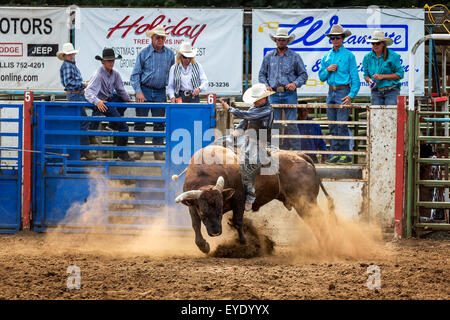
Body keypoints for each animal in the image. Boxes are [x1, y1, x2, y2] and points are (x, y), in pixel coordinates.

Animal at [174, 144, 332, 254]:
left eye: (220, 210)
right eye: (203, 213)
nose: (215, 233)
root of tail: (300, 156)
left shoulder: (239, 198)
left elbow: (238, 221)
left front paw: (245, 242)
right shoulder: (192, 206)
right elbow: (195, 225)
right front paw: (203, 246)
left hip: (306, 202)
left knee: (319, 220)